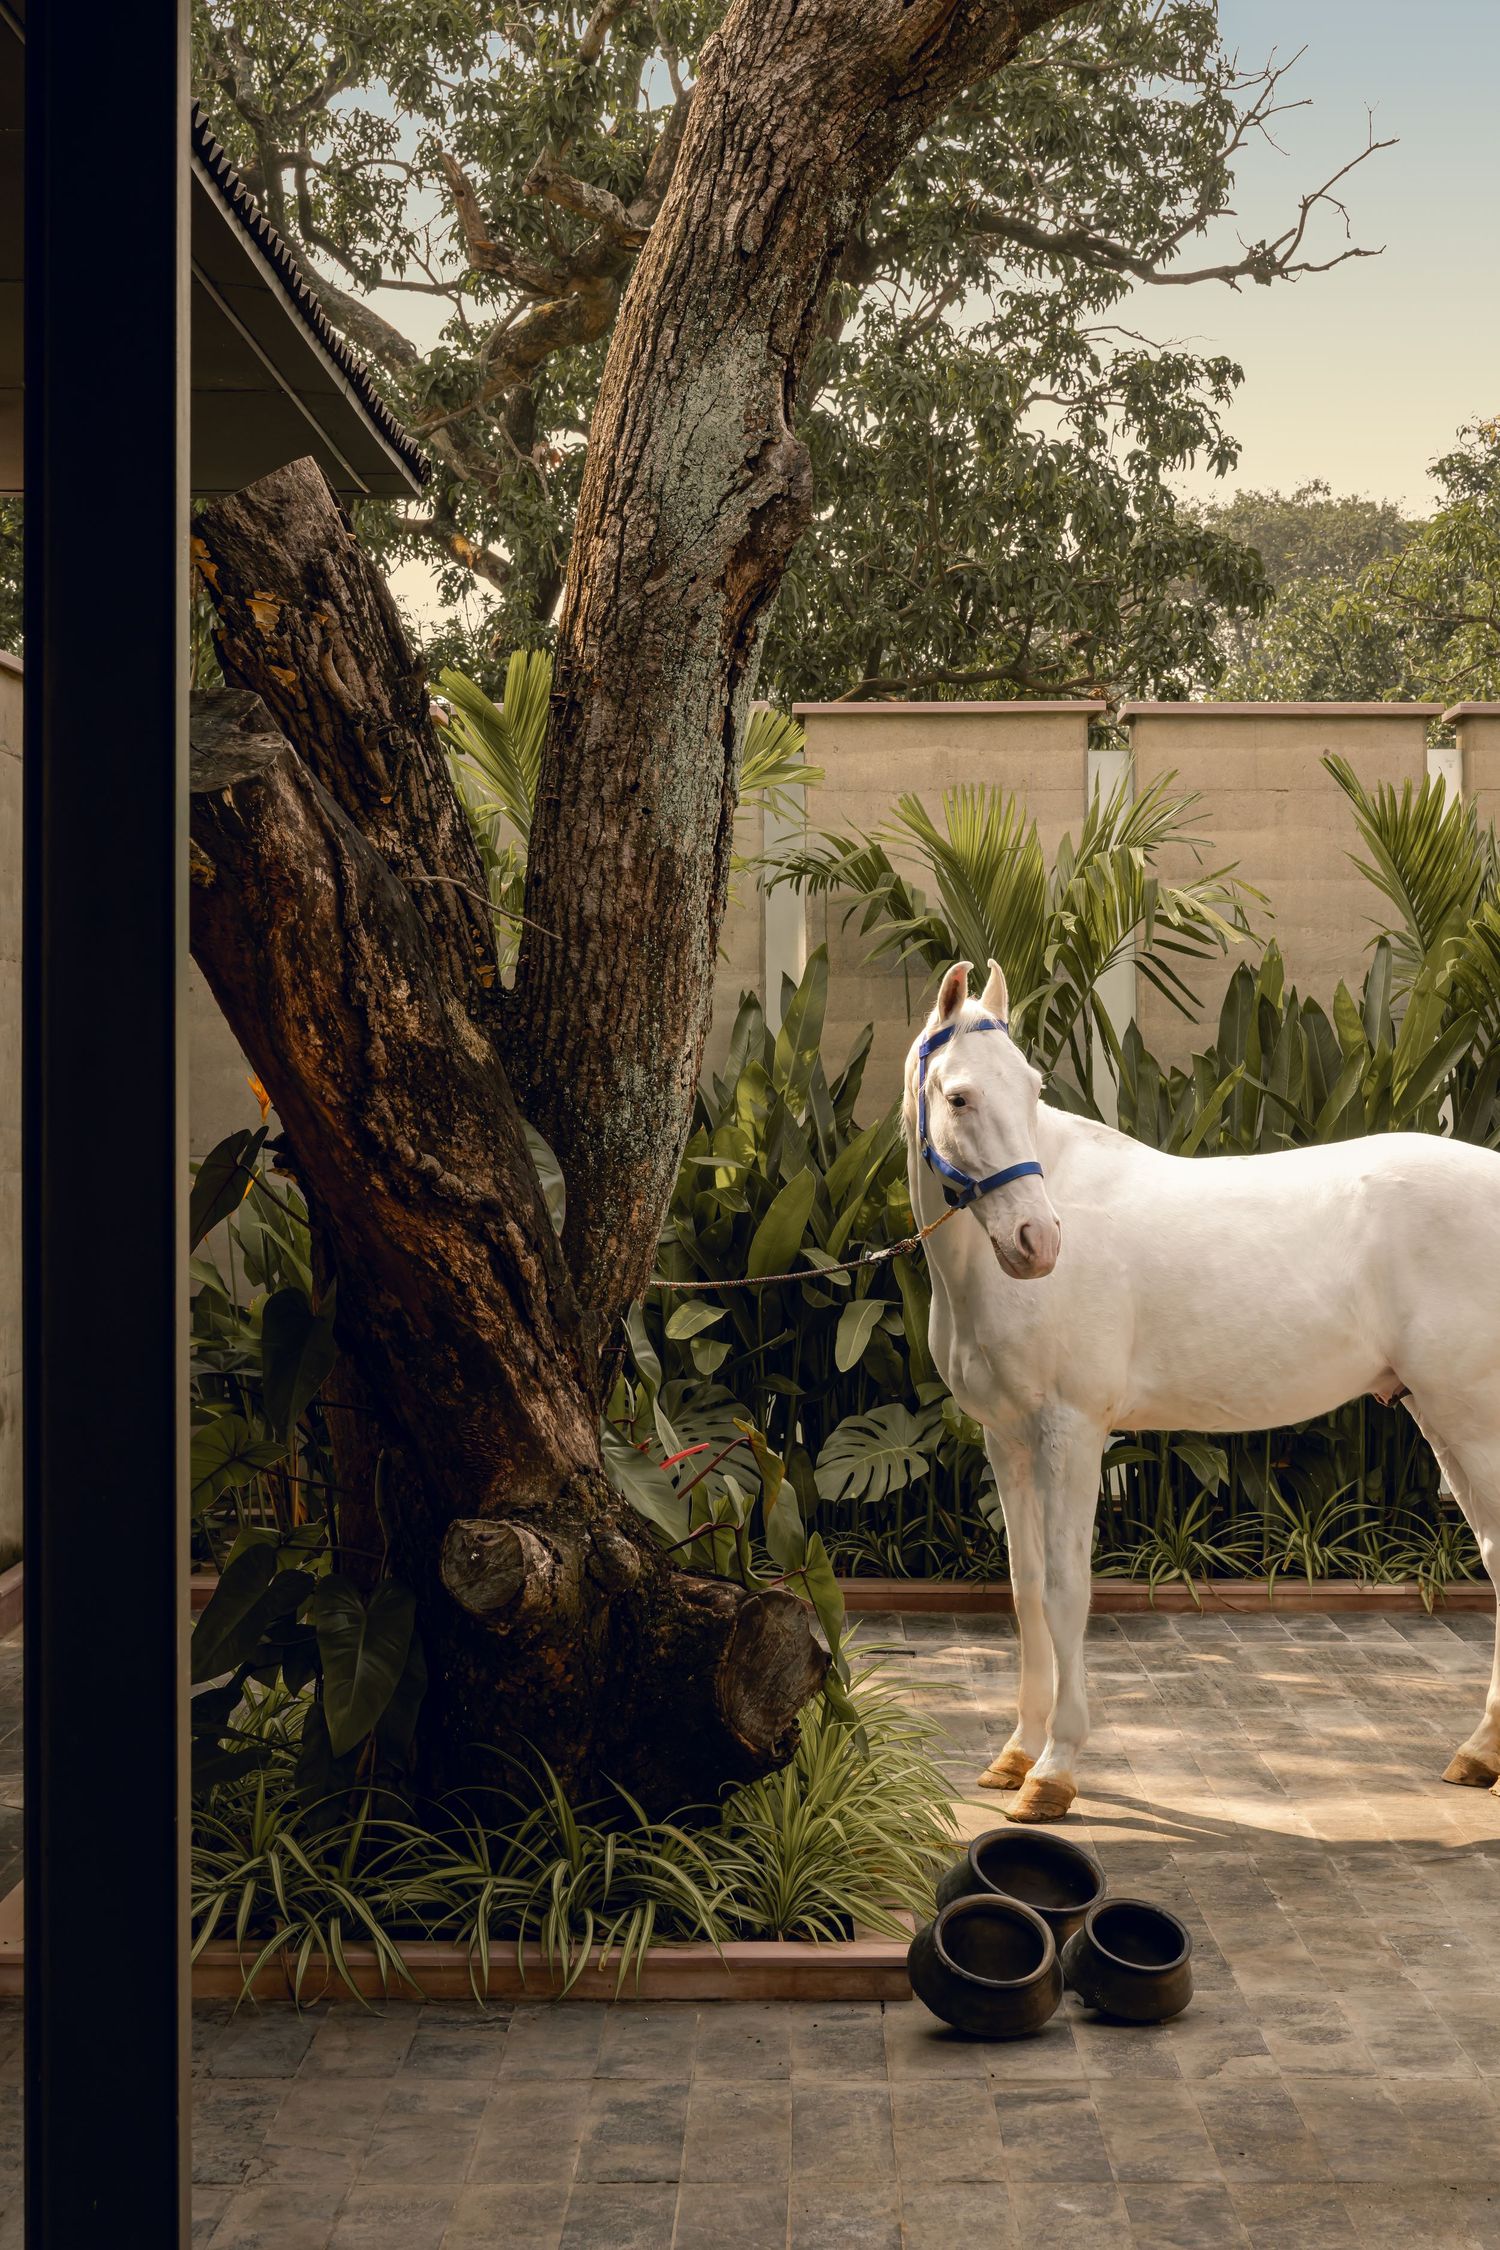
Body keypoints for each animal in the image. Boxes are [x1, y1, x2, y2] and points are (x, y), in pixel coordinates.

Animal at [907, 956, 1500, 1824]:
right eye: (958, 1097)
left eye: (1031, 1087)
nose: (1037, 1243)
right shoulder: (1005, 1437)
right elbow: (1023, 1590)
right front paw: (1016, 1754)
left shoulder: (1070, 1433)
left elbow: (1066, 1590)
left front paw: (1054, 1771)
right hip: (1442, 1415)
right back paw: (1479, 1752)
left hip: (1472, 1416)